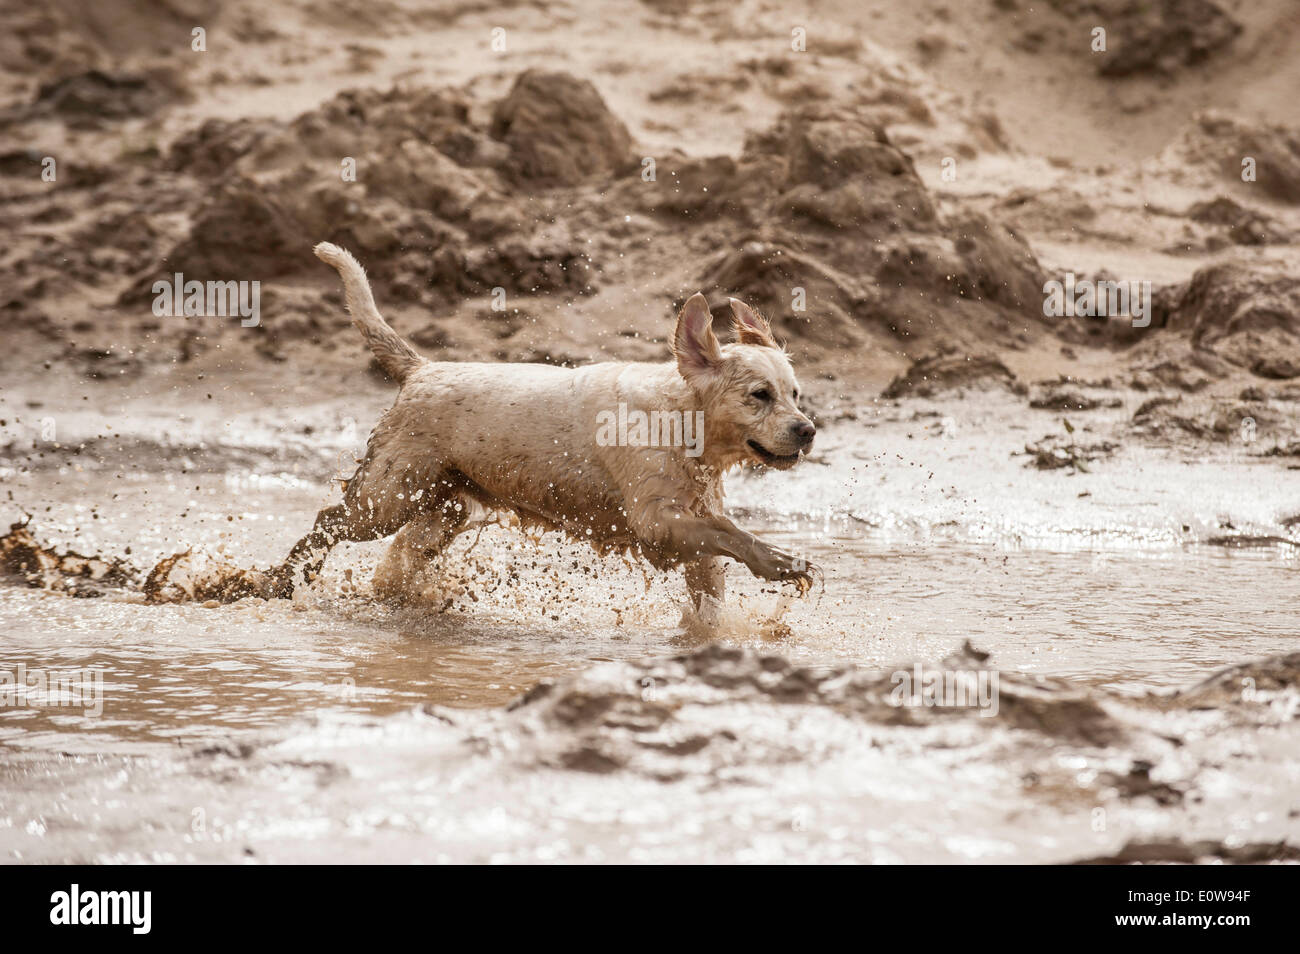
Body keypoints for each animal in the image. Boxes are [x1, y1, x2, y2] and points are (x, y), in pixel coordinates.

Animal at [269, 243, 816, 608]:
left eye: (795, 395)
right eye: (760, 396)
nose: (808, 430)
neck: (678, 419)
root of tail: (422, 368)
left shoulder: (689, 529)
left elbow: (714, 580)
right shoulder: (657, 523)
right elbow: (732, 534)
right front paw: (781, 562)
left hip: (443, 505)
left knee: (399, 554)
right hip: (386, 497)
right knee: (326, 522)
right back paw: (280, 581)